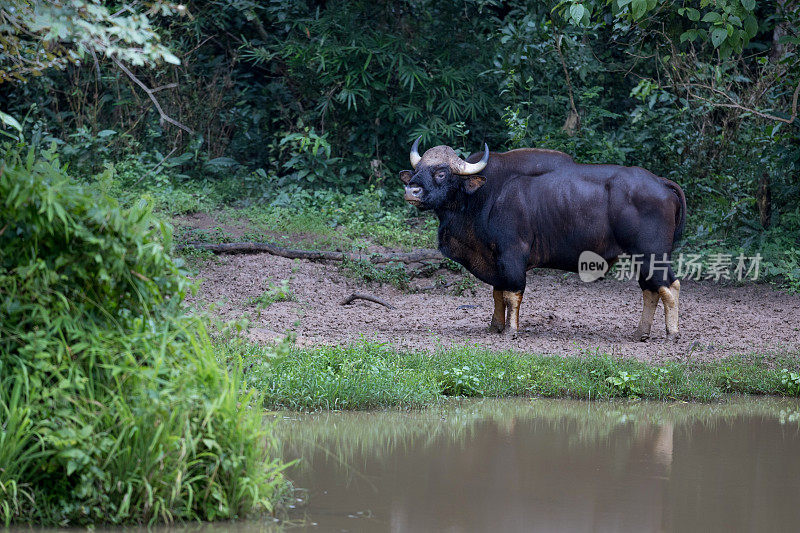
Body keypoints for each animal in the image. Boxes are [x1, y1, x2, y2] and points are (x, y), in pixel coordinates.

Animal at [400, 144, 688, 340]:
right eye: (417, 169)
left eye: (441, 172)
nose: (412, 190)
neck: (485, 195)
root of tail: (661, 182)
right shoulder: (495, 258)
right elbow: (497, 293)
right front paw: (496, 326)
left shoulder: (512, 254)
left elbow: (512, 293)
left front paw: (511, 330)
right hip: (640, 257)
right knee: (650, 289)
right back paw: (641, 333)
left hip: (653, 253)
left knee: (669, 285)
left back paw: (672, 333)